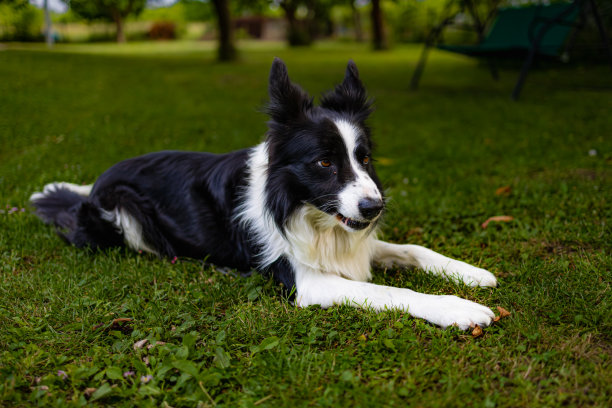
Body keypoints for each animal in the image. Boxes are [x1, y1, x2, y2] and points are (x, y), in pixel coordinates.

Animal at [29, 58, 498, 328]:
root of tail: (95, 186)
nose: (375, 208)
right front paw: (458, 309)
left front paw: (469, 273)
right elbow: (389, 292)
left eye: (363, 158)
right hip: (126, 213)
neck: (301, 207)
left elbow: (412, 249)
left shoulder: (352, 241)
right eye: (324, 162)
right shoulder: (306, 280)